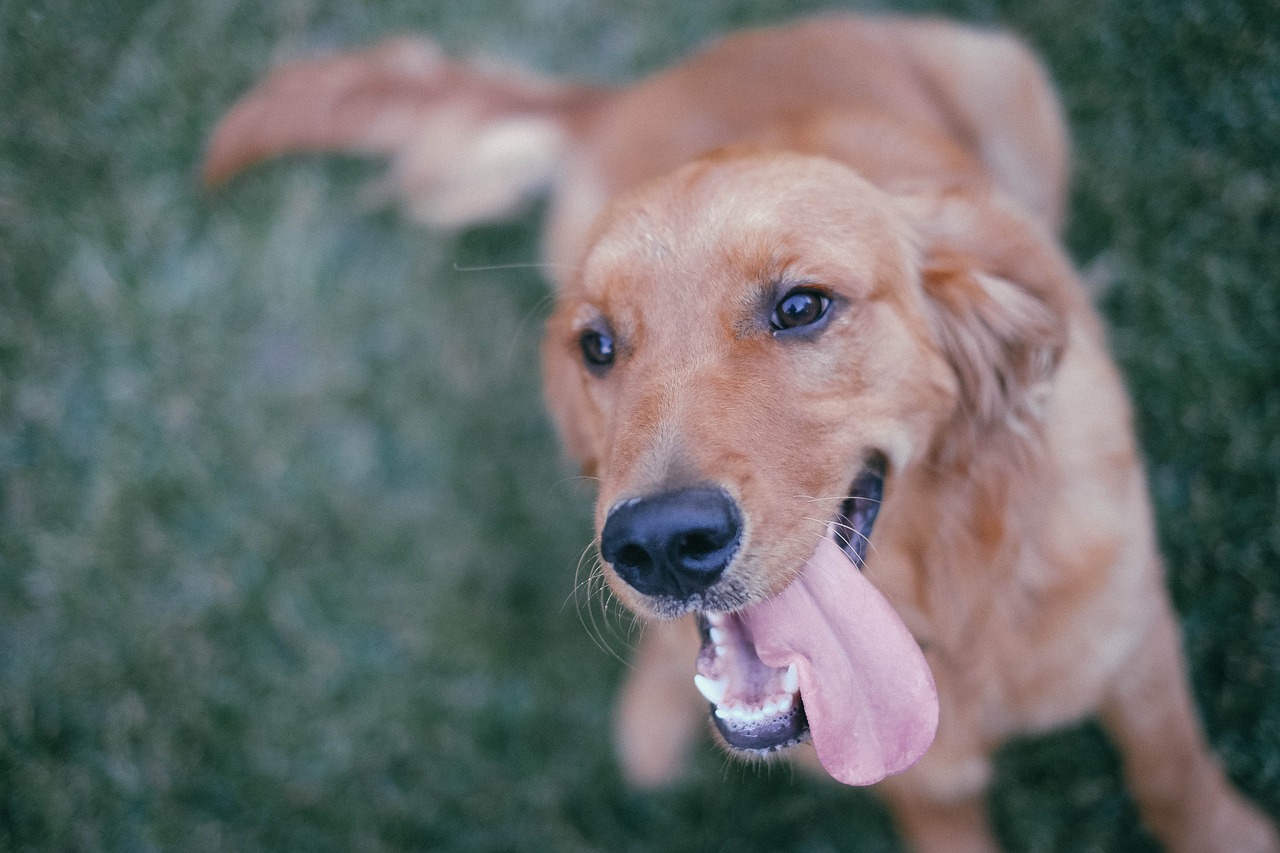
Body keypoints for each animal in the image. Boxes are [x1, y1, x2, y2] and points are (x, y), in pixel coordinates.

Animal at [204, 13, 1274, 850]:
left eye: (802, 306)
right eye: (597, 344)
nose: (659, 545)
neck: (945, 604)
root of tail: (636, 85)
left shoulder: (1139, 645)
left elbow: (1174, 778)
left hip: (1007, 79)